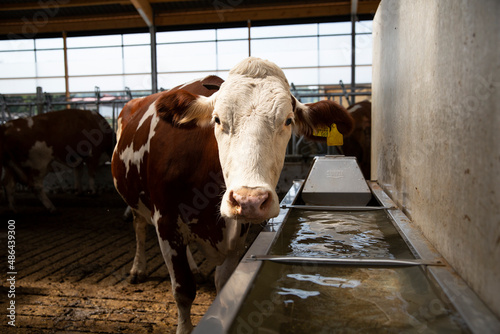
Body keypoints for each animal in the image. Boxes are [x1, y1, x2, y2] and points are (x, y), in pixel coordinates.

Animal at [111, 58, 354, 334]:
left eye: (288, 121)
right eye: (217, 119)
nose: (249, 199)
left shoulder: (238, 233)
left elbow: (223, 284)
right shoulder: (167, 223)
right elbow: (183, 291)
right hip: (134, 197)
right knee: (139, 226)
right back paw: (138, 268)